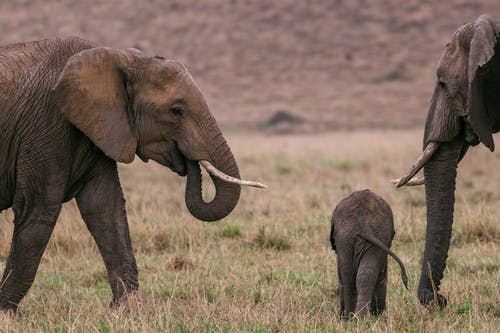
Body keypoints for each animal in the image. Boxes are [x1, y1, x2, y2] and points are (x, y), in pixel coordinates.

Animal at [0, 37, 266, 312]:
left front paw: (124, 310)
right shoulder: (45, 125)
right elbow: (39, 210)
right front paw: (7, 313)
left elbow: (105, 207)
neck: (121, 59)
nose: (189, 160)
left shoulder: (102, 126)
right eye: (175, 111)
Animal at [330, 188, 408, 318]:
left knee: (350, 275)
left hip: (351, 237)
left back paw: (354, 317)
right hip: (369, 235)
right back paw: (358, 317)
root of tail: (363, 224)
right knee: (358, 275)